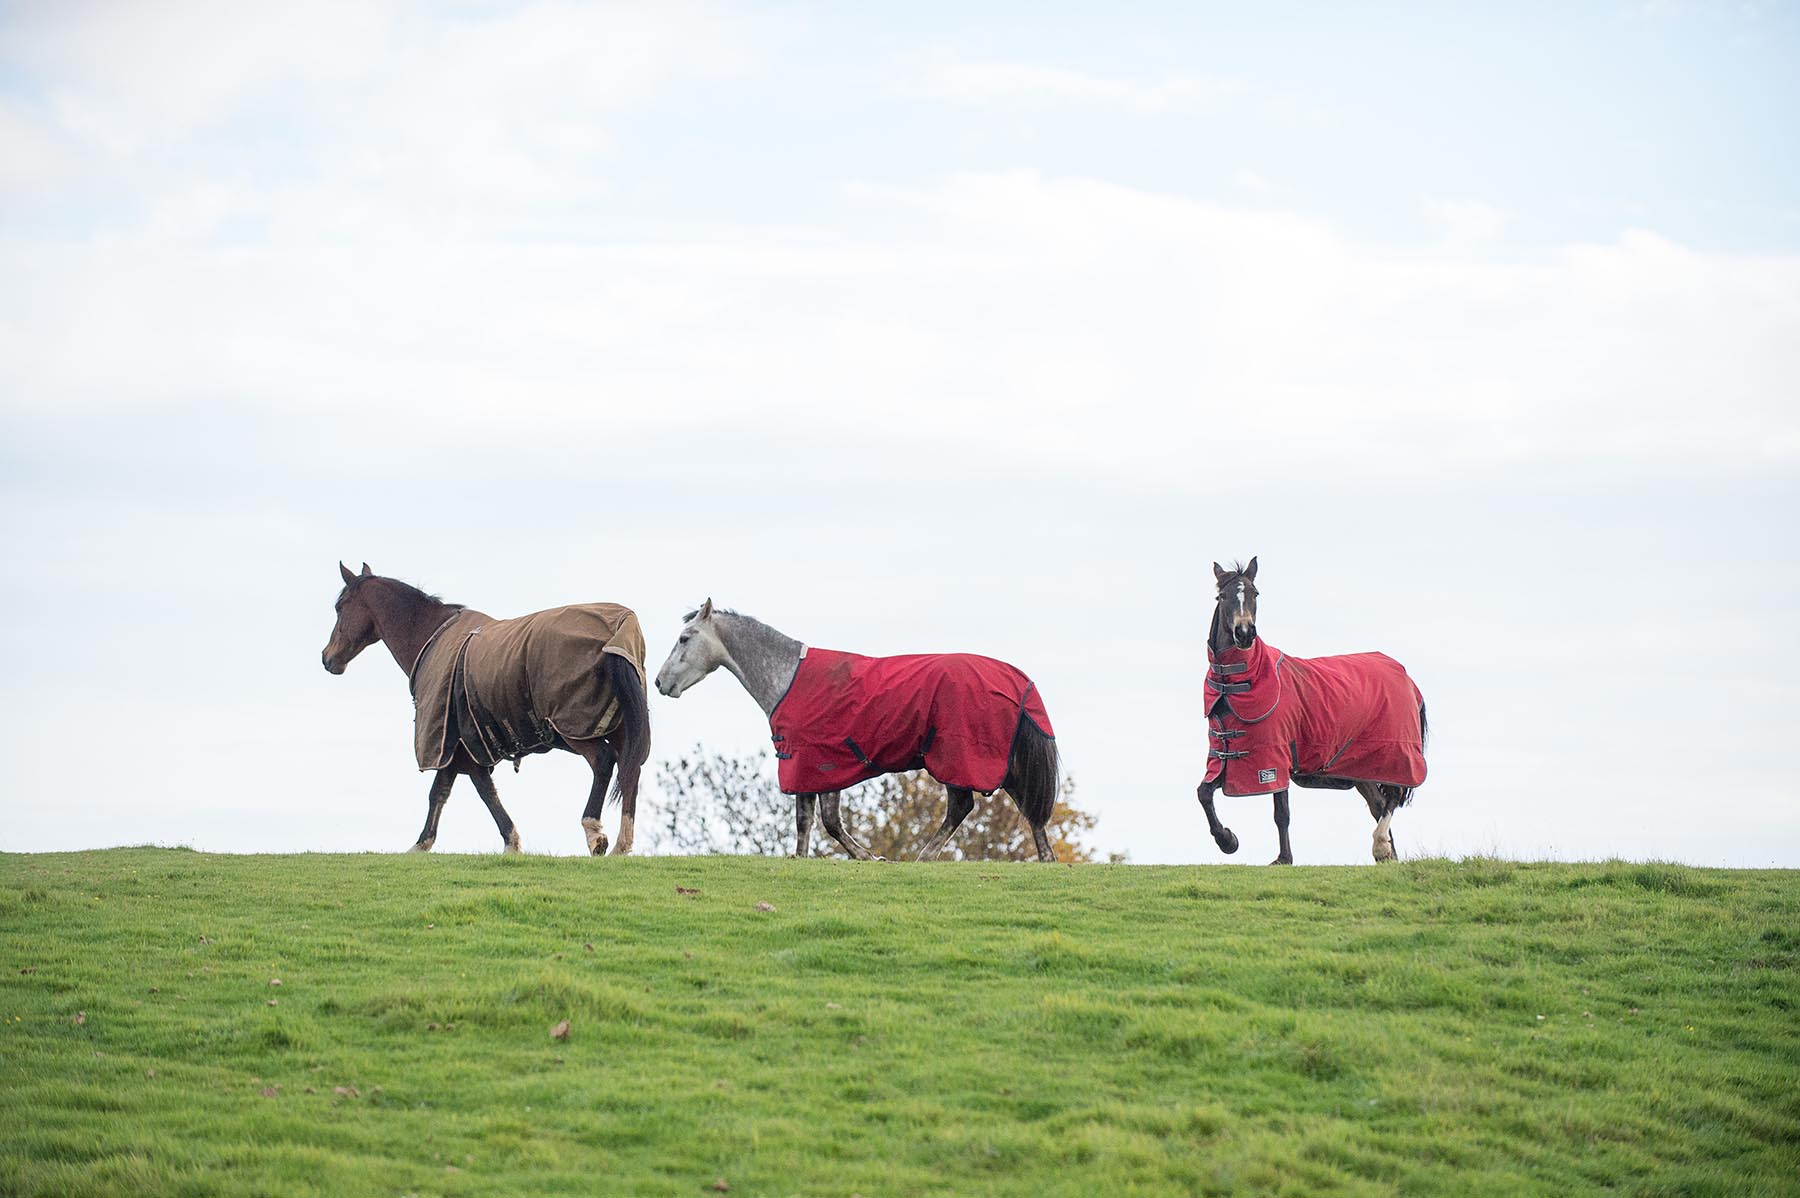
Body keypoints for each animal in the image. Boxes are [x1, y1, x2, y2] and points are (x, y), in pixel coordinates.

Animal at [321, 563, 651, 855]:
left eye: (340, 607)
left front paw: (510, 841)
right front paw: (422, 843)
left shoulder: (461, 745)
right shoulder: (456, 747)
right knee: (630, 769)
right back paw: (622, 845)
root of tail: (617, 628)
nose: (327, 658)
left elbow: (482, 792)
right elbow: (440, 792)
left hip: (575, 728)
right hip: (619, 726)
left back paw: (594, 833)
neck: (432, 636)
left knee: (604, 761)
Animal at [652, 600, 1062, 862]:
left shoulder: (818, 762)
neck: (790, 679)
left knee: (967, 805)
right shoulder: (810, 766)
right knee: (1024, 805)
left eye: (685, 638)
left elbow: (824, 822)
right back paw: (1045, 857)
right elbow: (811, 822)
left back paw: (925, 856)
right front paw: (809, 858)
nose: (659, 682)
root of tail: (1014, 679)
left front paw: (864, 856)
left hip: (960, 758)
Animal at [1194, 558, 1429, 865]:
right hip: (1361, 767)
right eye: (1222, 596)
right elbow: (1204, 793)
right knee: (1378, 806)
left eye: (1255, 594)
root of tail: (1406, 678)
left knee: (1392, 797)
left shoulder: (1274, 756)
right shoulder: (1225, 756)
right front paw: (1228, 840)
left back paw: (1380, 845)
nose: (1245, 634)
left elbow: (1281, 812)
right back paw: (1388, 856)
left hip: (1393, 757)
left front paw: (1283, 858)